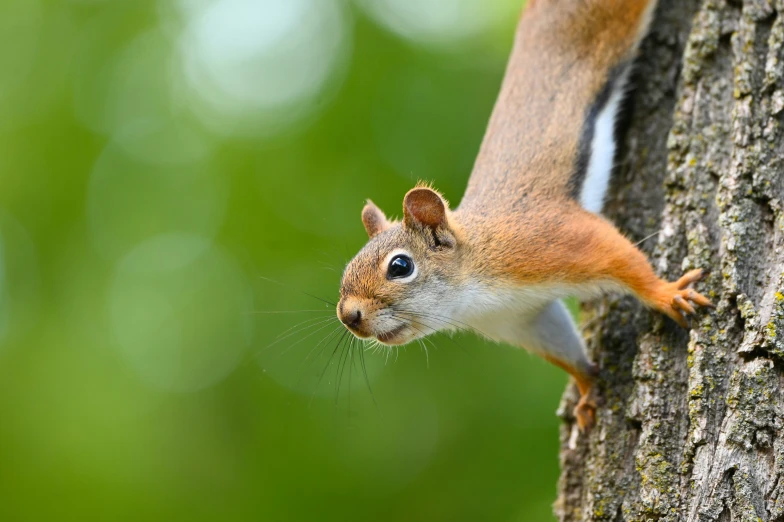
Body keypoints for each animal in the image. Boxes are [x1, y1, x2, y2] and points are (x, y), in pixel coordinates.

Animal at [334, 0, 712, 430]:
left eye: (400, 266)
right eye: (346, 268)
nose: (348, 316)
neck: (473, 288)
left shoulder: (548, 240)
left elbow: (620, 256)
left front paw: (666, 293)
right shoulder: (521, 320)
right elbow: (562, 345)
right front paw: (586, 388)